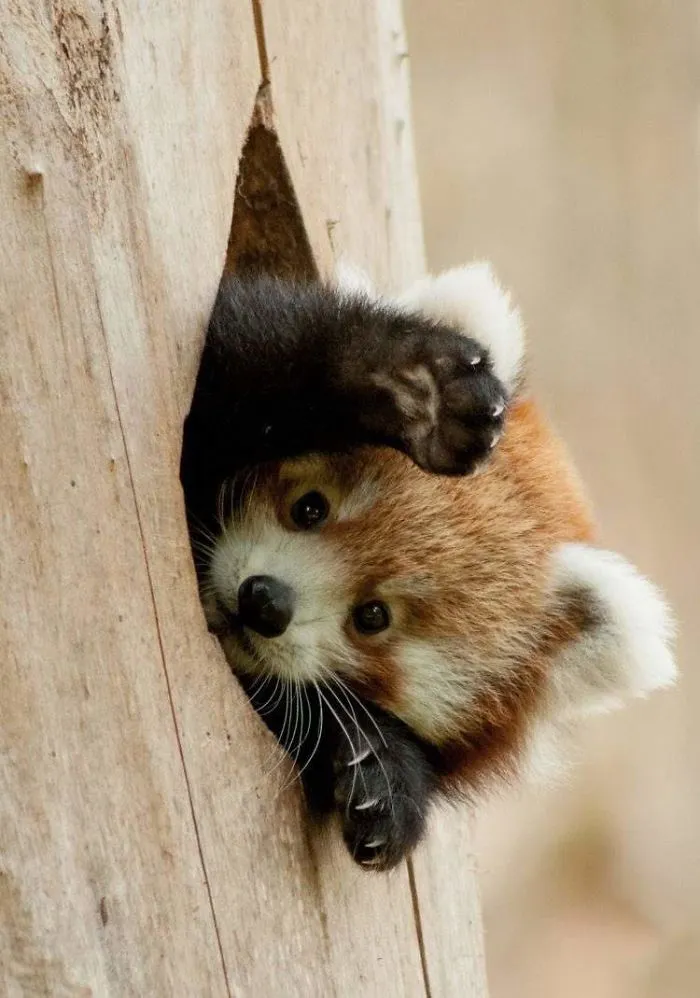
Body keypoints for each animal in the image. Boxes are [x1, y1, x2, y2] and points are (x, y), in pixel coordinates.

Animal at [180, 263, 675, 871]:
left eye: (373, 617)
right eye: (309, 507)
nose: (265, 602)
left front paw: (385, 774)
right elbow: (237, 354)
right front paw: (416, 388)